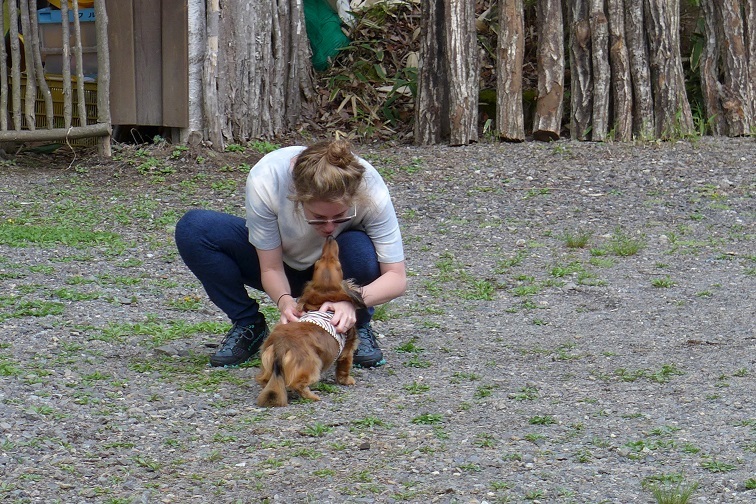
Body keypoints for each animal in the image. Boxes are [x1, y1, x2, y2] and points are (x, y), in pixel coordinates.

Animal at [255, 235, 368, 406]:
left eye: (317, 262)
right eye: (339, 265)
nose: (330, 238)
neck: (323, 302)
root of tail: (281, 345)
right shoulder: (347, 350)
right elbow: (344, 367)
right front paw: (346, 380)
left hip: (267, 361)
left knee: (266, 380)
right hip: (313, 364)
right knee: (298, 384)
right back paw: (311, 395)